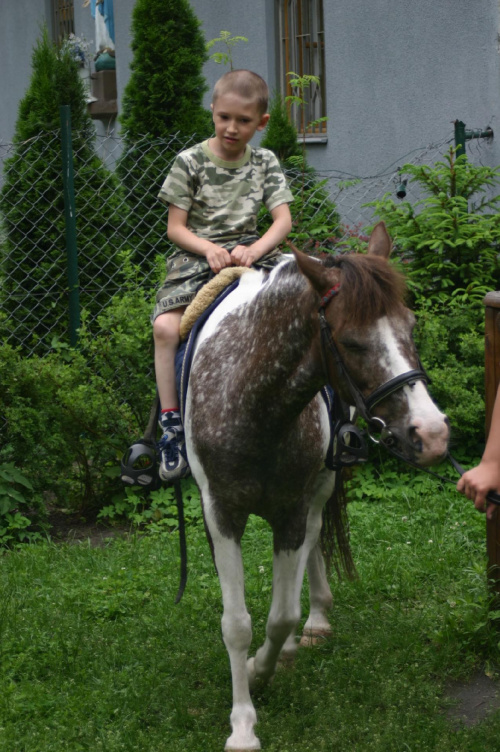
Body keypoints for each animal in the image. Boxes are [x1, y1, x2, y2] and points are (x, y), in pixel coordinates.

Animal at [182, 223, 448, 752]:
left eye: (411, 327)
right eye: (352, 342)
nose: (431, 435)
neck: (253, 402)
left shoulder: (290, 507)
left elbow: (281, 614)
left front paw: (263, 669)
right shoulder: (220, 515)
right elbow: (236, 624)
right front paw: (242, 725)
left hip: (321, 486)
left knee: (314, 539)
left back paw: (315, 624)